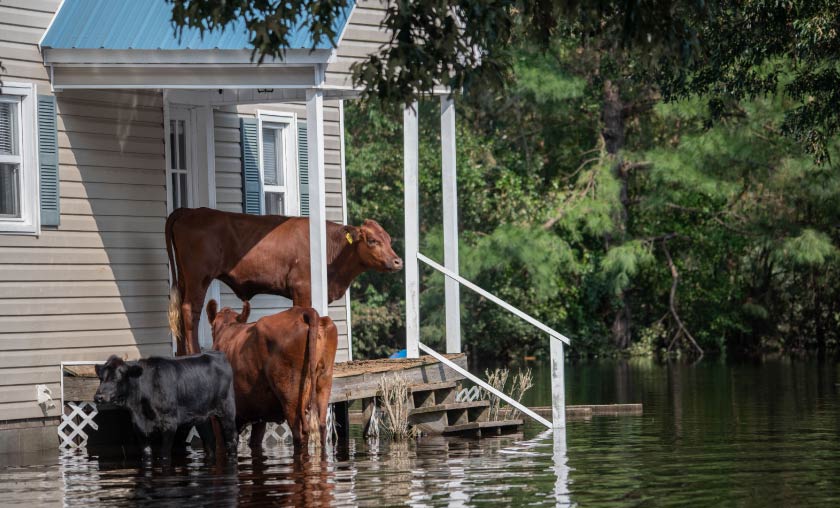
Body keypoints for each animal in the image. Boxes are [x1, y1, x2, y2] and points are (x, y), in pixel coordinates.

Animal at [94, 352, 236, 462]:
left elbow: (164, 454)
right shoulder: (139, 428)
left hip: (227, 411)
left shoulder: (169, 423)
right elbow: (146, 454)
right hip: (202, 417)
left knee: (232, 440)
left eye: (115, 378)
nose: (98, 397)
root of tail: (218, 354)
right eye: (100, 378)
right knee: (210, 442)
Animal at [206, 298, 338, 452]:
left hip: (290, 396)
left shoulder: (217, 416)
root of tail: (303, 311)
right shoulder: (259, 414)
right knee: (322, 426)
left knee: (300, 432)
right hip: (323, 380)